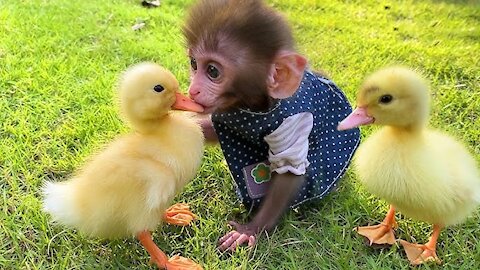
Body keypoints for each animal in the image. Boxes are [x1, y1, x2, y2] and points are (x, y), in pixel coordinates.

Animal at [184, 0, 360, 252]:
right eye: (194, 64)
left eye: (213, 71)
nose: (193, 90)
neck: (254, 105)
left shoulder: (293, 121)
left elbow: (289, 169)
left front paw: (250, 230)